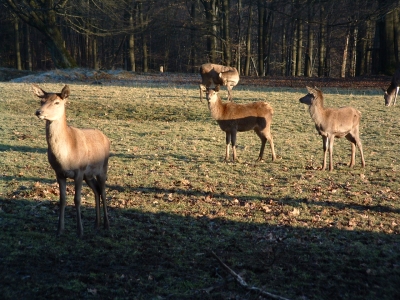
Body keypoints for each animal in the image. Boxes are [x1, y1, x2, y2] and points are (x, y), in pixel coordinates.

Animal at [33, 84, 110, 237]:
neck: (65, 158)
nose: (39, 112)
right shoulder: (59, 173)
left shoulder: (79, 171)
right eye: (41, 100)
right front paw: (59, 230)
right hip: (89, 175)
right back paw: (96, 224)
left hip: (103, 168)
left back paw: (106, 225)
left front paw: (80, 231)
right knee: (97, 190)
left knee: (103, 192)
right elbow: (62, 200)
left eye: (57, 102)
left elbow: (77, 199)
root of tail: (106, 137)